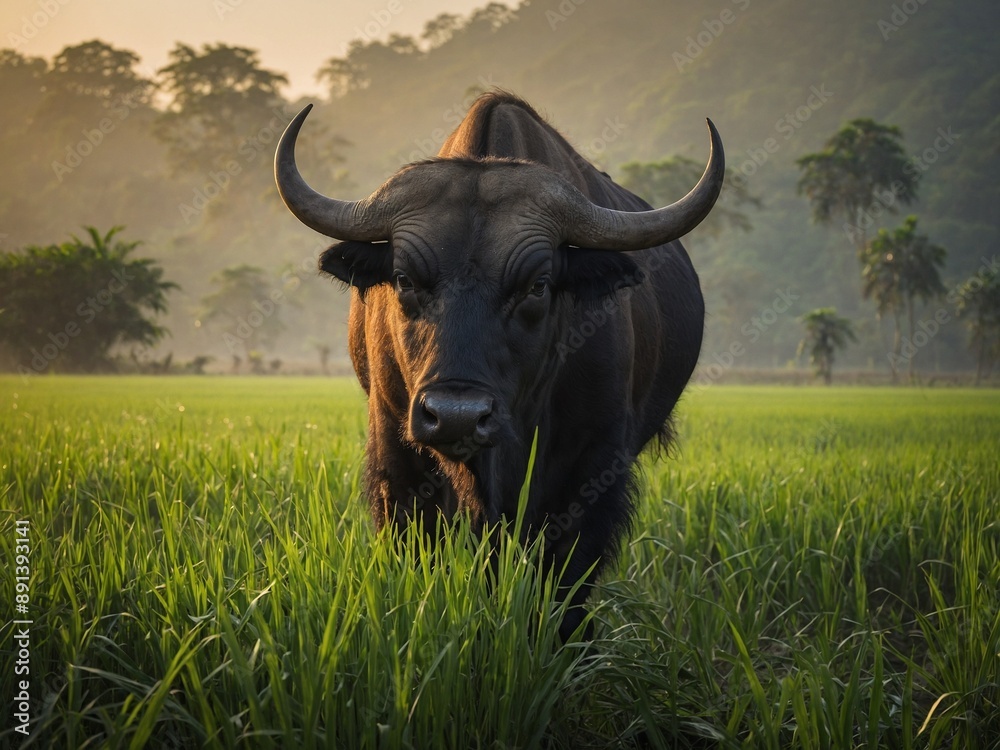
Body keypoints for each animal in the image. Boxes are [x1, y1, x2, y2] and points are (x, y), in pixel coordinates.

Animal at [275, 92, 723, 638]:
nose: (457, 416)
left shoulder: (593, 466)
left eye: (538, 285)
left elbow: (565, 572)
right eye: (404, 279)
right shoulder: (396, 450)